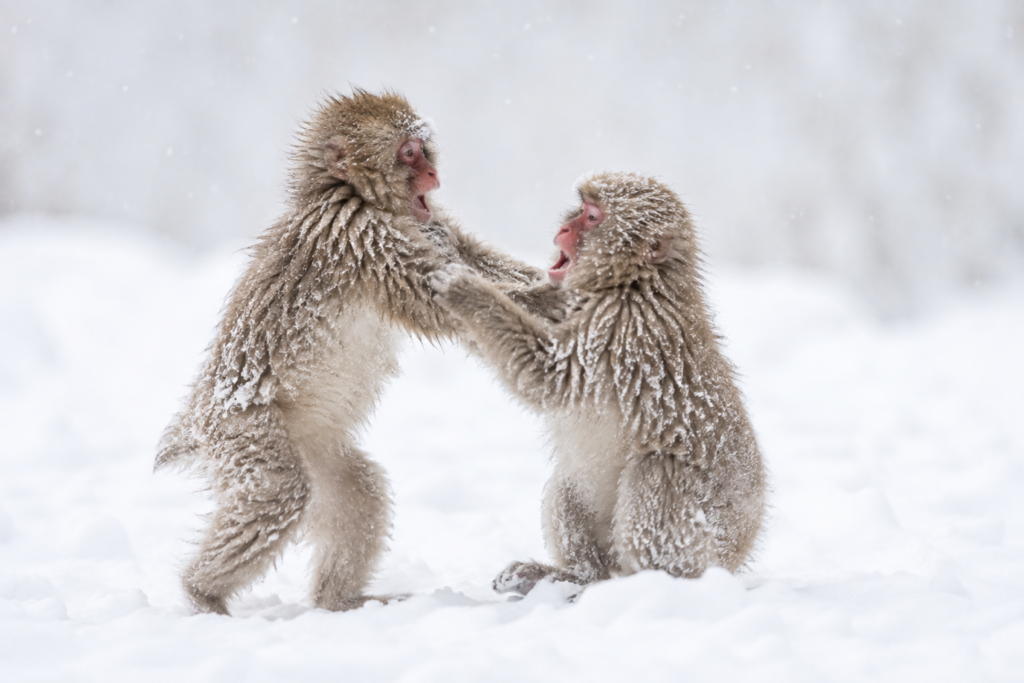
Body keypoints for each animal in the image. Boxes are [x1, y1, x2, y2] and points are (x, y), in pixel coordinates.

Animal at [155, 90, 543, 615]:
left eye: (423, 149)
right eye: (408, 153)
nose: (433, 176)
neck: (353, 195)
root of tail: (196, 420)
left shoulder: (429, 223)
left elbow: (476, 260)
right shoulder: (360, 236)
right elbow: (439, 302)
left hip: (313, 443)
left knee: (360, 492)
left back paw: (339, 600)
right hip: (242, 431)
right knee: (279, 493)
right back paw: (203, 593)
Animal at [429, 171, 767, 596]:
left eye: (591, 217)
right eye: (581, 208)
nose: (563, 228)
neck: (633, 283)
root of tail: (739, 553)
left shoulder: (623, 331)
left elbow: (549, 376)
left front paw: (468, 291)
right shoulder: (571, 300)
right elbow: (536, 290)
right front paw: (447, 237)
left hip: (705, 544)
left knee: (657, 470)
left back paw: (648, 583)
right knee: (570, 481)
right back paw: (575, 575)